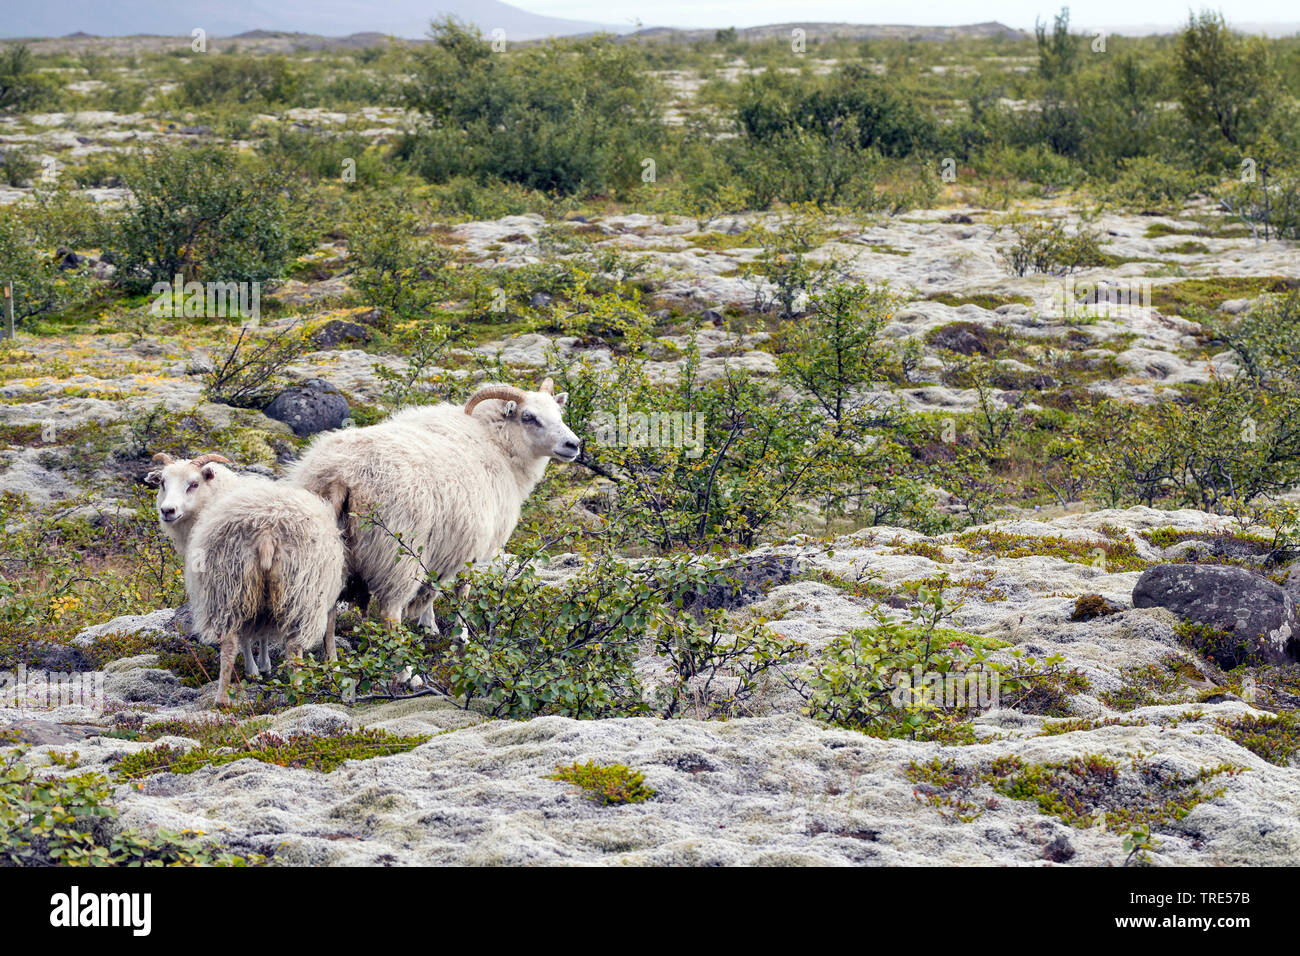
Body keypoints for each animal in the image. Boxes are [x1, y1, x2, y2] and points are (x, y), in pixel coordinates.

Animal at [185, 481, 345, 707]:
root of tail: (266, 534)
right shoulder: (327, 598)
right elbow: (330, 632)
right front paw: (334, 667)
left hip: (229, 589)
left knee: (229, 644)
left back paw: (222, 698)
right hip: (300, 591)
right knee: (294, 646)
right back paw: (297, 691)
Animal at [287, 378, 580, 632]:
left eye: (559, 413)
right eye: (528, 417)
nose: (574, 444)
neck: (497, 444)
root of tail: (342, 475)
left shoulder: (445, 543)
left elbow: (433, 586)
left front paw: (429, 626)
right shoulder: (472, 546)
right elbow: (462, 590)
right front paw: (460, 635)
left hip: (327, 556)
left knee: (327, 611)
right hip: (397, 553)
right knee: (390, 611)